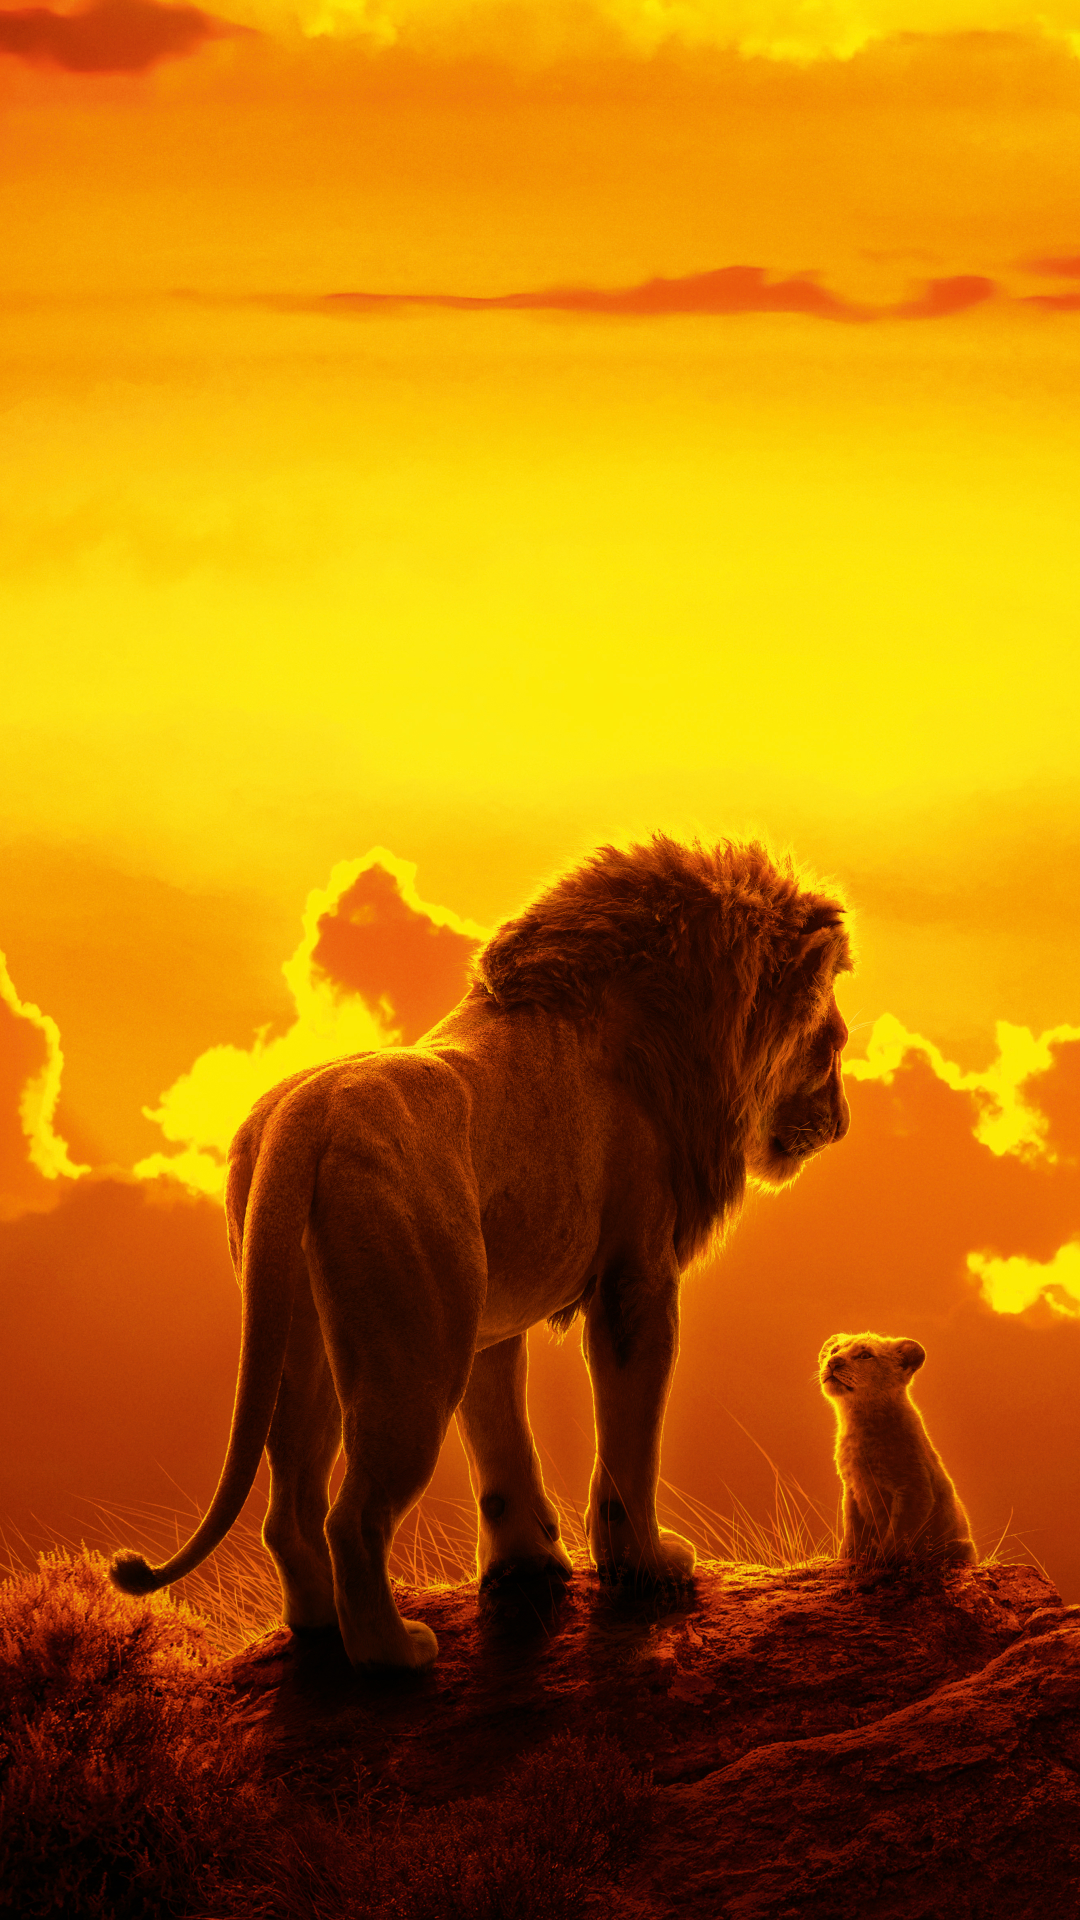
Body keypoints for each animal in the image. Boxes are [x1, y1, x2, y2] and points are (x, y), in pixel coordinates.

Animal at [111, 835, 852, 1669]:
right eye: (832, 1046)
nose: (843, 1122)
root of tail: (306, 1115)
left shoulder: (489, 1317)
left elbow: (501, 1445)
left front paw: (527, 1565)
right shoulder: (636, 1280)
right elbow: (629, 1444)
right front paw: (647, 1566)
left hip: (306, 1340)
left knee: (292, 1508)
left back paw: (318, 1628)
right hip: (414, 1355)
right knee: (353, 1517)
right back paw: (393, 1654)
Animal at [819, 1332, 976, 1566]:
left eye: (865, 1355)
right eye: (834, 1350)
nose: (833, 1362)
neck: (857, 1420)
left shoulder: (913, 1489)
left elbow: (898, 1535)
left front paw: (882, 1562)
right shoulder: (852, 1489)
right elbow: (852, 1532)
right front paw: (849, 1558)